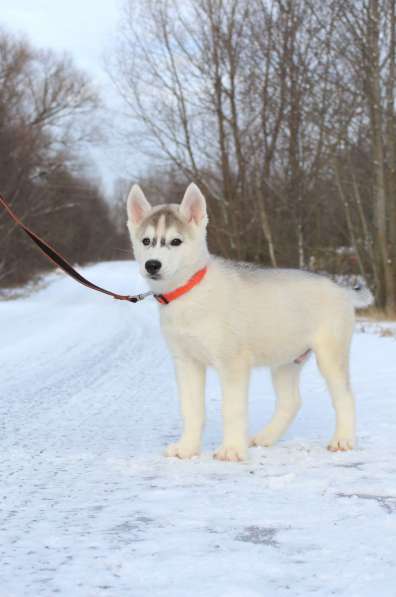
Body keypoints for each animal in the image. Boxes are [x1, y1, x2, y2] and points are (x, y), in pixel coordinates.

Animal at [127, 182, 374, 460]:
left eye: (175, 242)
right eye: (146, 241)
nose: (152, 265)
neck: (189, 291)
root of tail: (341, 289)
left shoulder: (233, 363)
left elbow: (231, 409)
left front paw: (232, 450)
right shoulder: (186, 363)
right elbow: (191, 409)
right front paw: (187, 448)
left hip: (330, 356)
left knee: (345, 397)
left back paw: (343, 440)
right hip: (285, 360)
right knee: (291, 401)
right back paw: (266, 438)